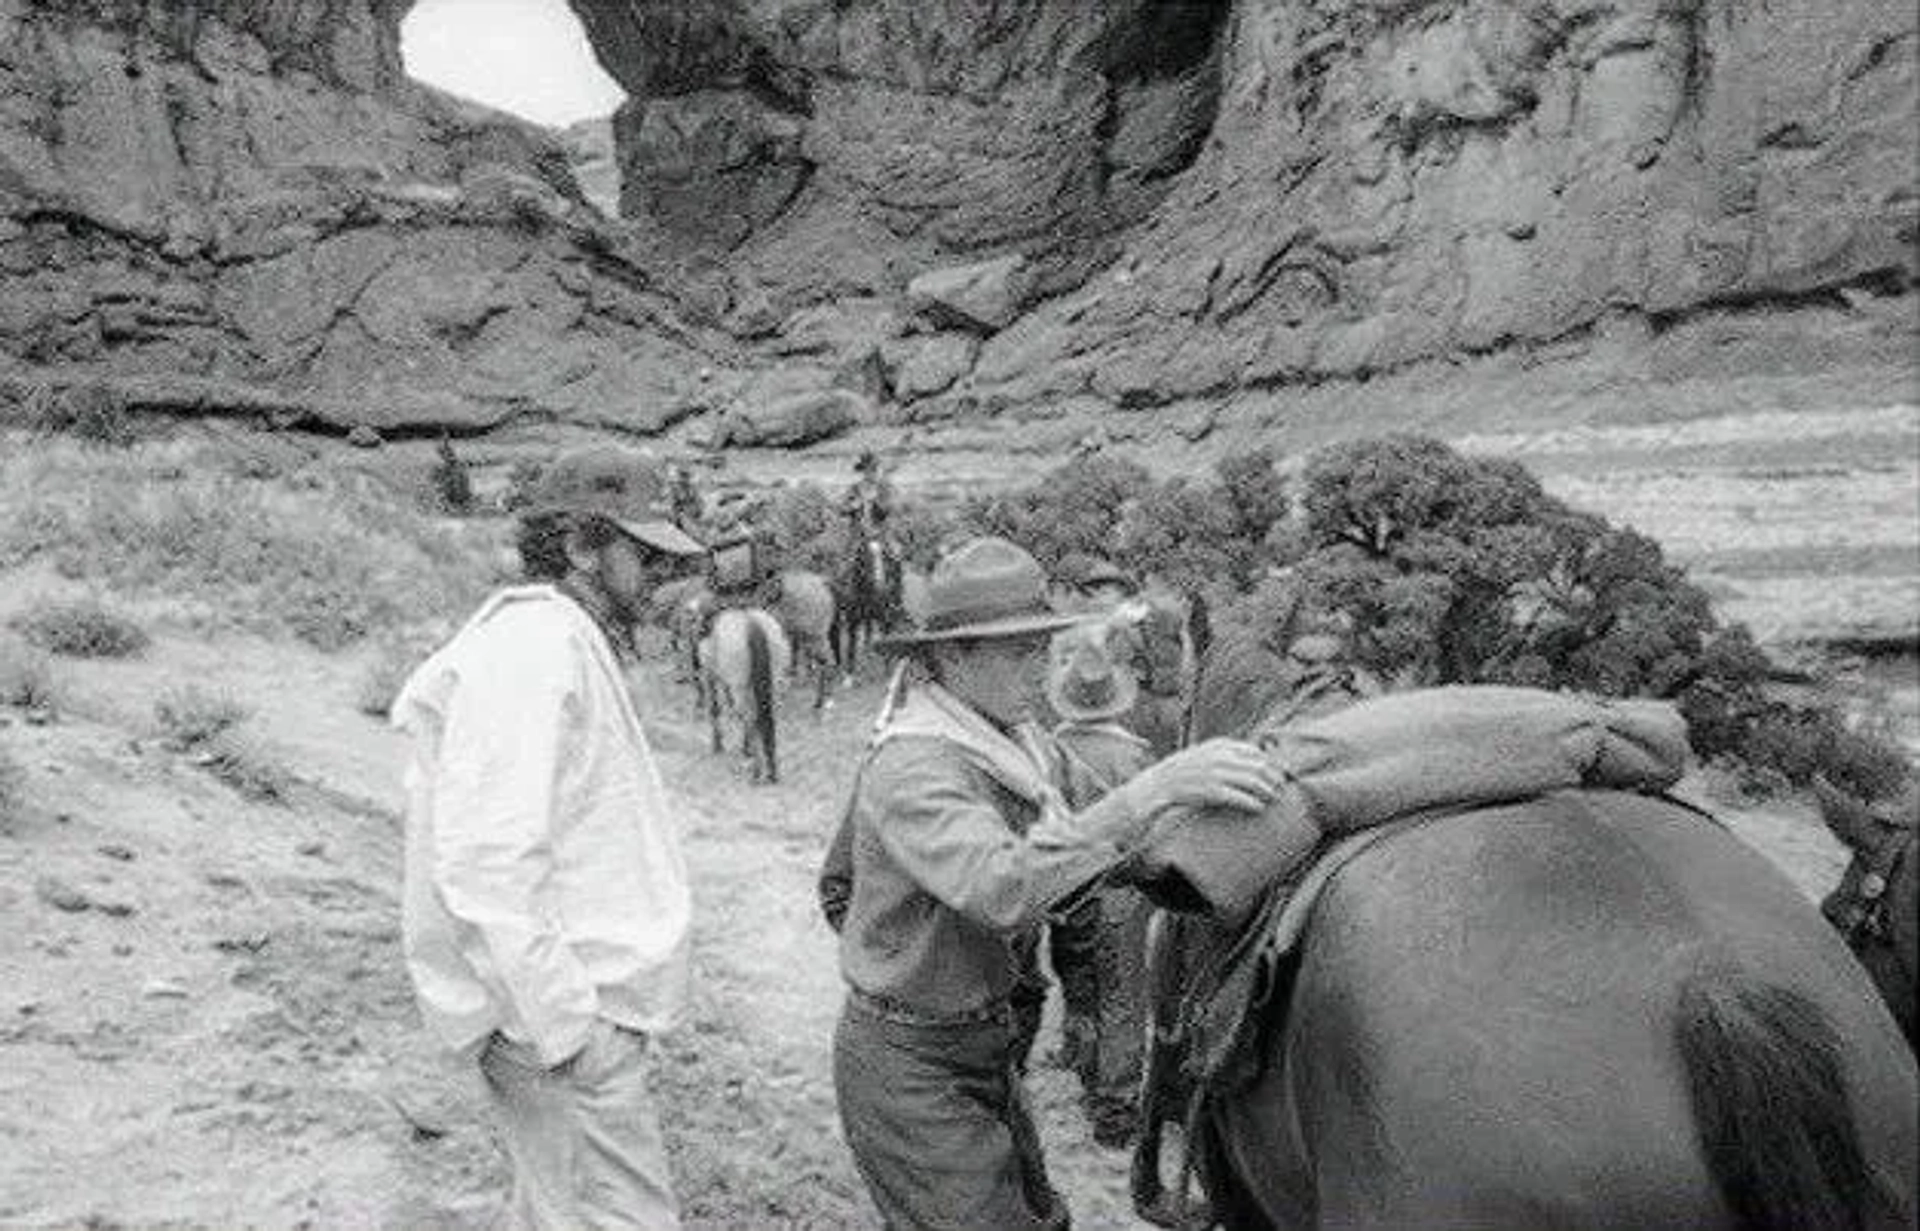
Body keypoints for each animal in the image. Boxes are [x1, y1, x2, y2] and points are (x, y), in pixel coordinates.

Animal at [698, 610, 787, 783]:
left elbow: (715, 708)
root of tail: (752, 623)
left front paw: (718, 745)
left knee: (750, 718)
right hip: (773, 683)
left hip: (739, 686)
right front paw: (745, 749)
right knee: (765, 717)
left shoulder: (709, 675)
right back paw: (771, 771)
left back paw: (757, 771)